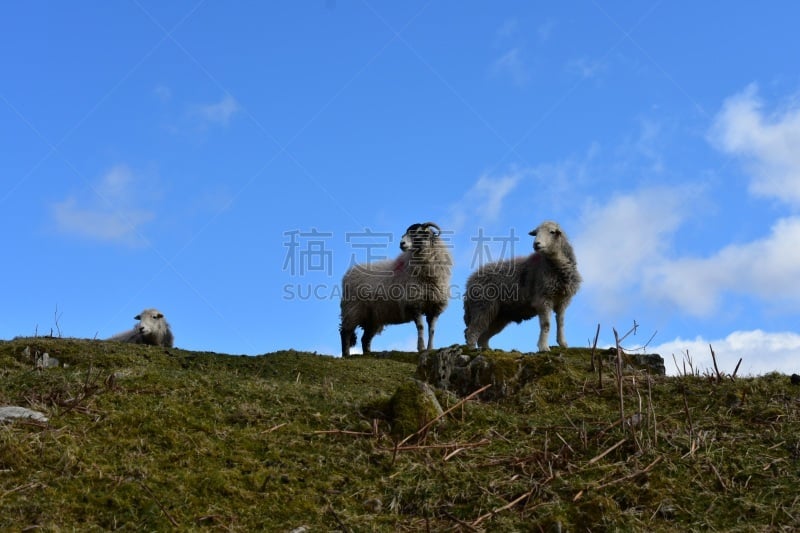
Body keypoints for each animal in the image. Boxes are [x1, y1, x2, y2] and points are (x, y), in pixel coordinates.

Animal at [338, 220, 454, 358]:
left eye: (419, 232)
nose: (401, 243)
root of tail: (349, 273)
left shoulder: (434, 307)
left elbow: (432, 330)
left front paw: (430, 349)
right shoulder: (414, 303)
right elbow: (420, 327)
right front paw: (420, 348)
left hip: (373, 317)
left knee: (365, 338)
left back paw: (368, 354)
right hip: (352, 309)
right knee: (345, 332)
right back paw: (346, 355)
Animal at [462, 220, 580, 354]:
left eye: (552, 232)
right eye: (536, 233)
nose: (536, 244)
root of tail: (469, 281)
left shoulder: (563, 301)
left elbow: (561, 322)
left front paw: (563, 343)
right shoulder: (543, 299)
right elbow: (546, 324)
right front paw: (544, 347)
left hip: (499, 316)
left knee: (483, 336)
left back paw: (487, 350)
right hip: (482, 306)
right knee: (471, 332)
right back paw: (472, 350)